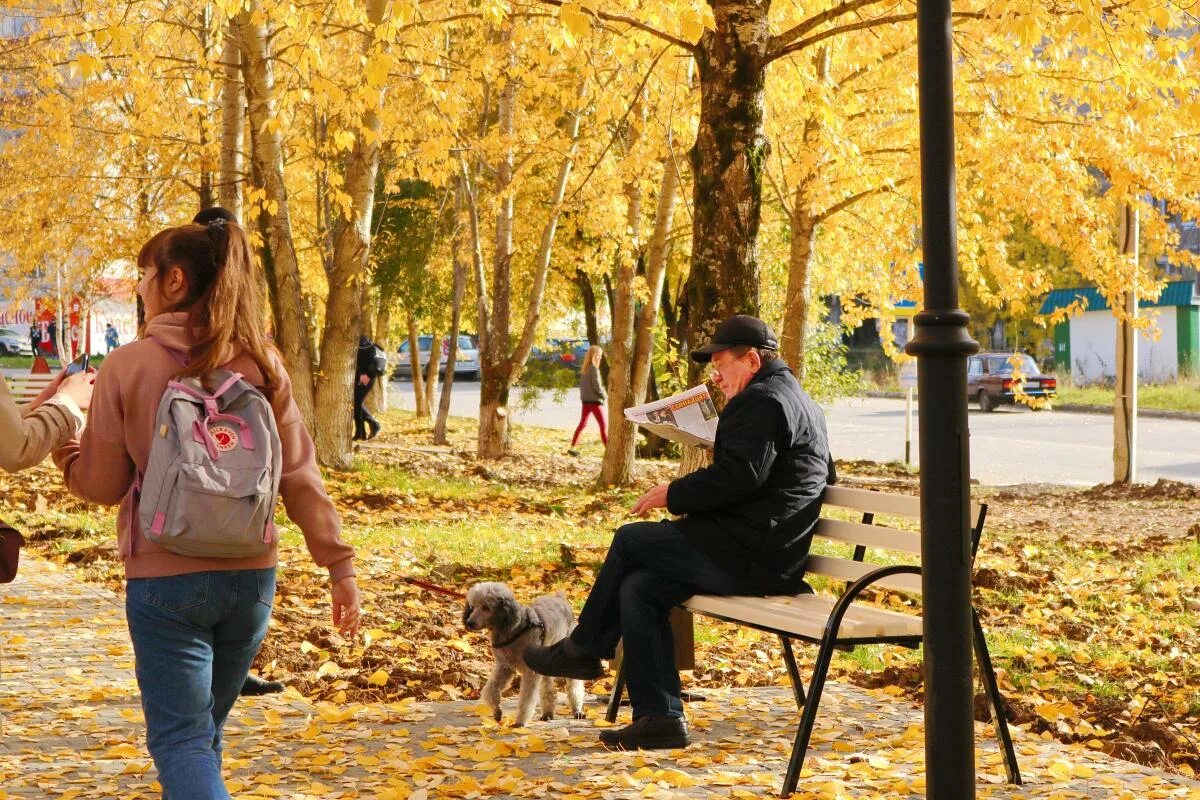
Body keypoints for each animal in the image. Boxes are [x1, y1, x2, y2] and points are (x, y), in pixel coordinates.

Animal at [463, 582, 585, 724]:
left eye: (486, 607)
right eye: (472, 606)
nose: (469, 623)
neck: (515, 630)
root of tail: (560, 598)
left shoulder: (529, 672)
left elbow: (526, 699)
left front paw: (520, 721)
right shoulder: (504, 666)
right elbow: (491, 690)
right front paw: (497, 711)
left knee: (574, 685)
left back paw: (577, 709)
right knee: (548, 689)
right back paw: (547, 713)